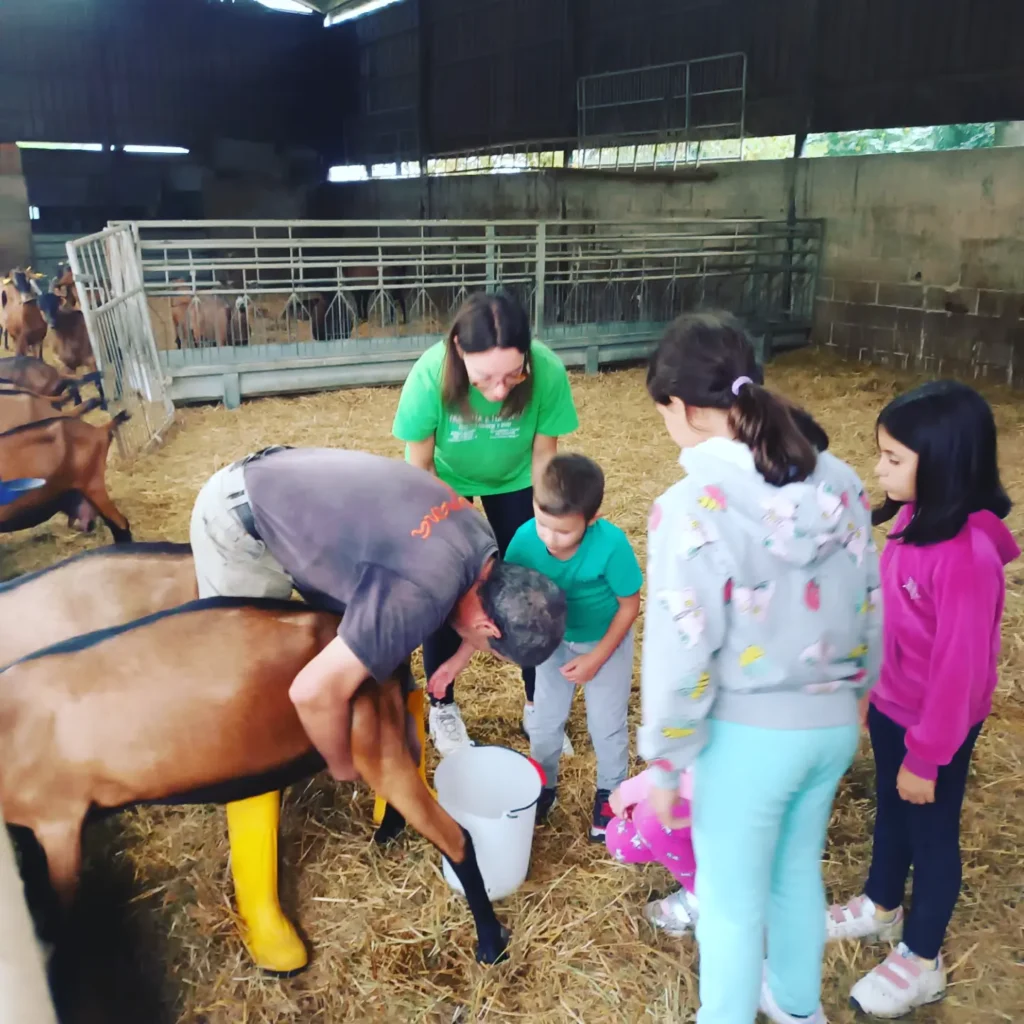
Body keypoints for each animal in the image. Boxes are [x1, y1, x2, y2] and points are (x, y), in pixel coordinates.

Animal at [0, 602, 509, 970]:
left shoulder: (57, 823)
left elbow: (62, 918)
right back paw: (386, 833)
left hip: (373, 744)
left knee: (456, 836)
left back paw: (491, 946)